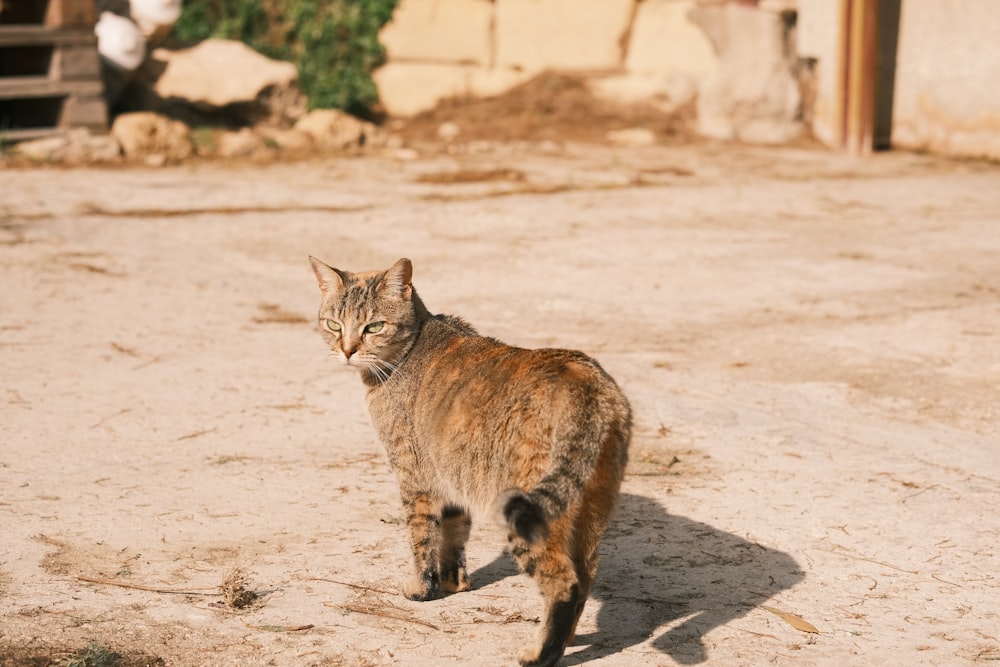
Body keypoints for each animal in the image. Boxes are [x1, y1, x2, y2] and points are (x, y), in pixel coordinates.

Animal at [308, 258, 628, 667]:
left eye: (374, 326)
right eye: (334, 324)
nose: (347, 350)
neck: (408, 350)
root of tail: (585, 384)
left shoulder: (415, 477)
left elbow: (423, 537)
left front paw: (422, 588)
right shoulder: (451, 473)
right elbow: (454, 532)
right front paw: (453, 582)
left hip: (525, 513)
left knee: (564, 583)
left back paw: (541, 653)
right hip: (588, 513)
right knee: (586, 575)